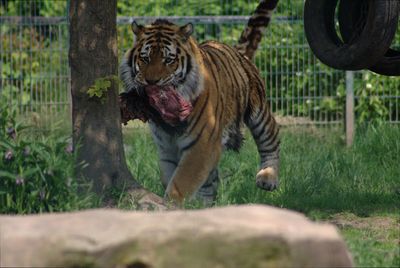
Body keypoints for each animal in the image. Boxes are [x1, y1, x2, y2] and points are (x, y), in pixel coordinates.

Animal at [120, 0, 280, 205]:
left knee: (271, 138)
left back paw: (267, 178)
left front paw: (170, 205)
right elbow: (169, 176)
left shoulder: (201, 144)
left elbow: (181, 181)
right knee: (210, 181)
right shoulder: (167, 149)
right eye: (145, 58)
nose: (151, 81)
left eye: (168, 60)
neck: (169, 122)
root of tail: (237, 52)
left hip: (258, 111)